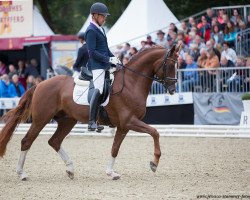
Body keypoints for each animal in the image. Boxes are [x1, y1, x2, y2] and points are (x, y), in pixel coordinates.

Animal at [0, 45, 180, 180]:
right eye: (170, 65)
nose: (172, 89)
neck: (131, 83)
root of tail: (40, 84)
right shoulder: (129, 121)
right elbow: (155, 132)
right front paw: (154, 163)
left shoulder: (123, 126)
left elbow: (115, 148)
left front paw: (111, 173)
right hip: (41, 119)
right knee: (26, 141)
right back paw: (22, 174)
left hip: (67, 120)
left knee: (54, 141)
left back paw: (70, 169)